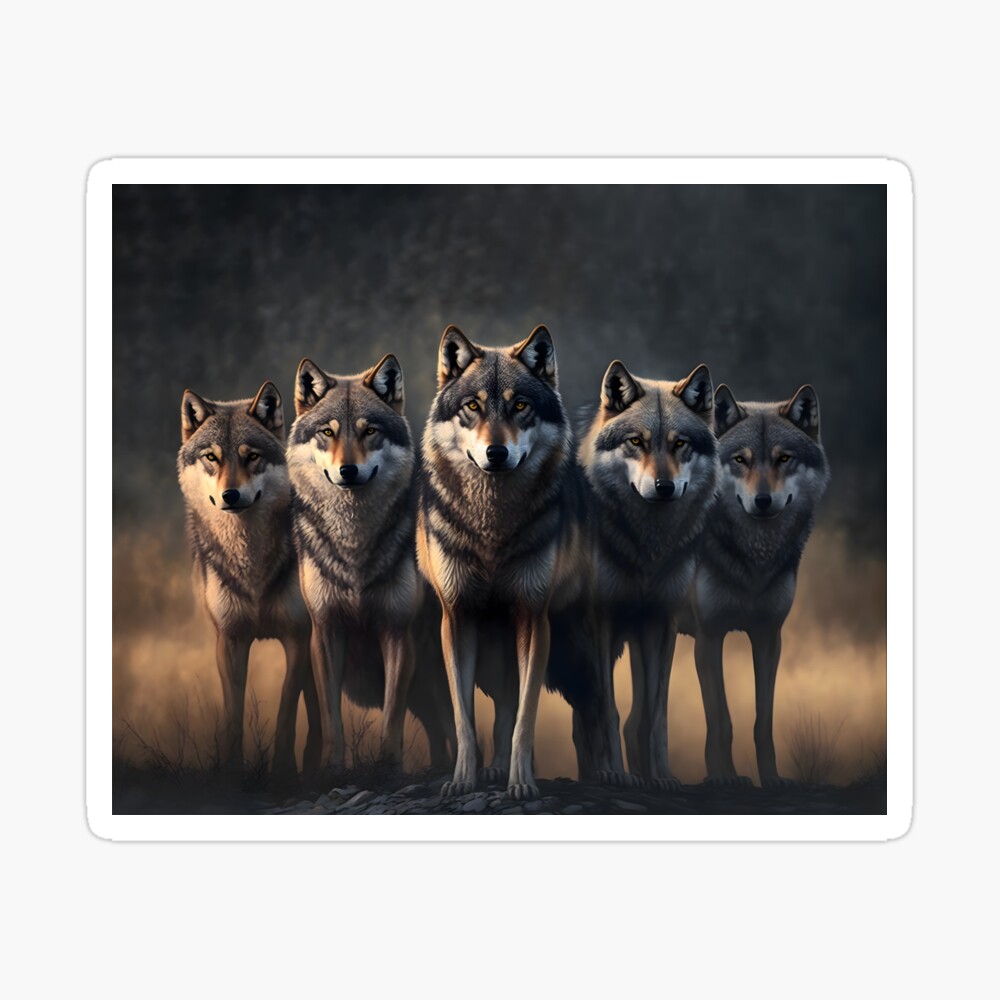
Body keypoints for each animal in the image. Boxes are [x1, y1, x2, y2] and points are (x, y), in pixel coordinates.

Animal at [177, 381, 321, 776]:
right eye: (212, 457)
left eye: (251, 456)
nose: (230, 494)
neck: (250, 563)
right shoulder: (229, 640)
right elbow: (232, 716)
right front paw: (231, 770)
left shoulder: (296, 637)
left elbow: (286, 712)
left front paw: (282, 771)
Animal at [287, 353, 454, 772]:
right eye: (327, 433)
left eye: (370, 431)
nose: (348, 470)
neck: (354, 544)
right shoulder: (326, 632)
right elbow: (331, 716)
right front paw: (331, 766)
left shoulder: (397, 633)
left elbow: (392, 715)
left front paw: (389, 765)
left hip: (433, 669)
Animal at [417, 324, 591, 800]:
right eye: (473, 406)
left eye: (520, 406)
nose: (496, 453)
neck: (491, 529)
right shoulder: (456, 617)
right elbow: (464, 717)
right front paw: (462, 780)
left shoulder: (533, 617)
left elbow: (524, 718)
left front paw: (522, 783)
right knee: (500, 704)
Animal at [574, 360, 720, 787]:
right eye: (636, 442)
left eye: (679, 444)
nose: (664, 486)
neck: (647, 548)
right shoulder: (601, 621)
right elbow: (608, 710)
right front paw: (614, 773)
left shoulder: (659, 621)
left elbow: (655, 716)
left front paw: (662, 777)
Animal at [678, 384, 830, 787]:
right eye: (740, 460)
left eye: (784, 458)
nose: (763, 500)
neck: (753, 561)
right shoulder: (709, 637)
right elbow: (721, 721)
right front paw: (722, 777)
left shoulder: (768, 637)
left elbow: (763, 722)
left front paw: (771, 778)